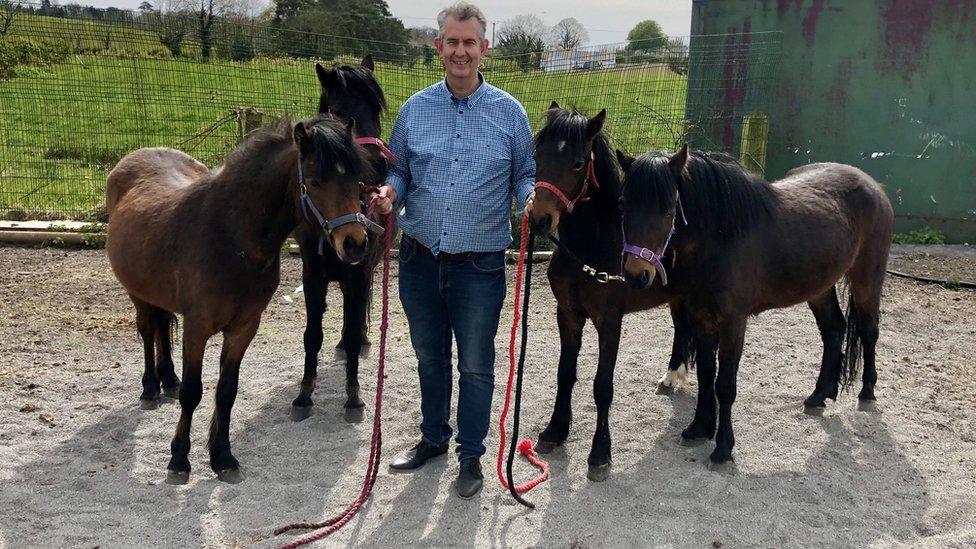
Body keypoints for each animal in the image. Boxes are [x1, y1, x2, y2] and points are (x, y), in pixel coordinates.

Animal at [107, 115, 374, 484]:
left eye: (357, 181)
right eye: (316, 181)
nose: (355, 243)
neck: (231, 239)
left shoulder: (244, 327)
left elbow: (226, 391)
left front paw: (222, 457)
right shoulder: (197, 327)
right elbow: (194, 392)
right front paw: (179, 460)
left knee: (161, 328)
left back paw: (168, 380)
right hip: (137, 293)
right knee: (149, 331)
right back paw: (150, 388)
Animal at [290, 54, 392, 420]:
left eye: (376, 109)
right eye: (336, 109)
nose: (376, 166)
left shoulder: (359, 272)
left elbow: (353, 320)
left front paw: (354, 396)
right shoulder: (313, 276)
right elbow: (311, 334)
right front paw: (304, 394)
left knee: (356, 316)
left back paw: (360, 340)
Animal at [528, 103, 692, 480]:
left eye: (577, 163)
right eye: (537, 153)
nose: (539, 220)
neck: (591, 249)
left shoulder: (609, 321)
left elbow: (602, 386)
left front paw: (600, 453)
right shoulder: (568, 315)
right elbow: (565, 374)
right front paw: (555, 431)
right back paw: (671, 376)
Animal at [620, 146, 896, 462]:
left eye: (668, 210)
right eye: (623, 205)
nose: (636, 274)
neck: (721, 239)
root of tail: (873, 186)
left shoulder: (733, 323)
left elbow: (725, 384)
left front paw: (723, 448)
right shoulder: (700, 319)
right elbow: (706, 375)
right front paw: (699, 427)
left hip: (867, 280)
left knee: (869, 331)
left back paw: (867, 392)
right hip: (819, 287)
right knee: (834, 330)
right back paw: (819, 396)